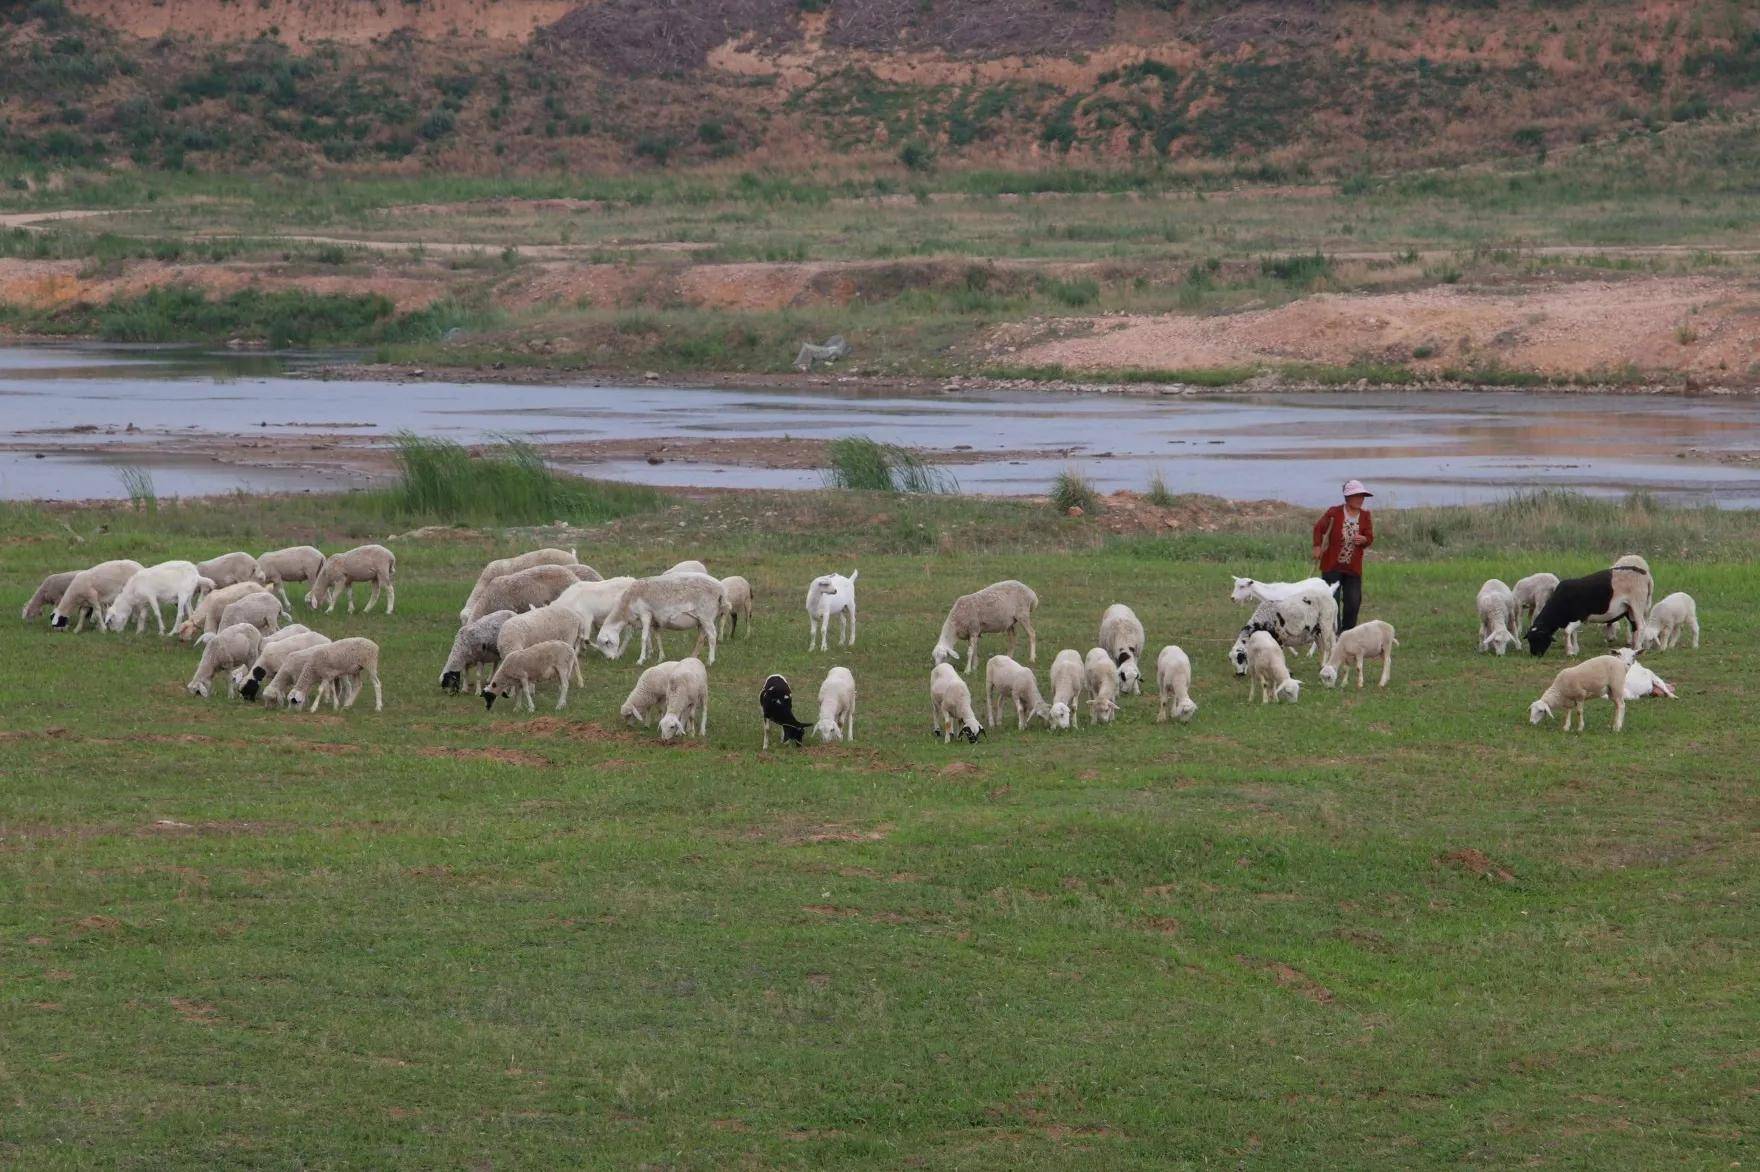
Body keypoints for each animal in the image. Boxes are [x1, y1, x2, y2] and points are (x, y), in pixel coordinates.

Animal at [594, 573, 725, 665]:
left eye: (607, 643)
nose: (610, 659)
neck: (626, 608)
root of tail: (720, 589)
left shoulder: (645, 614)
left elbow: (643, 638)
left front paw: (641, 660)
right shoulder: (655, 621)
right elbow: (657, 638)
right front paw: (659, 657)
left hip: (706, 616)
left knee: (712, 636)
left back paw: (710, 660)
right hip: (701, 620)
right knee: (701, 638)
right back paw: (692, 657)